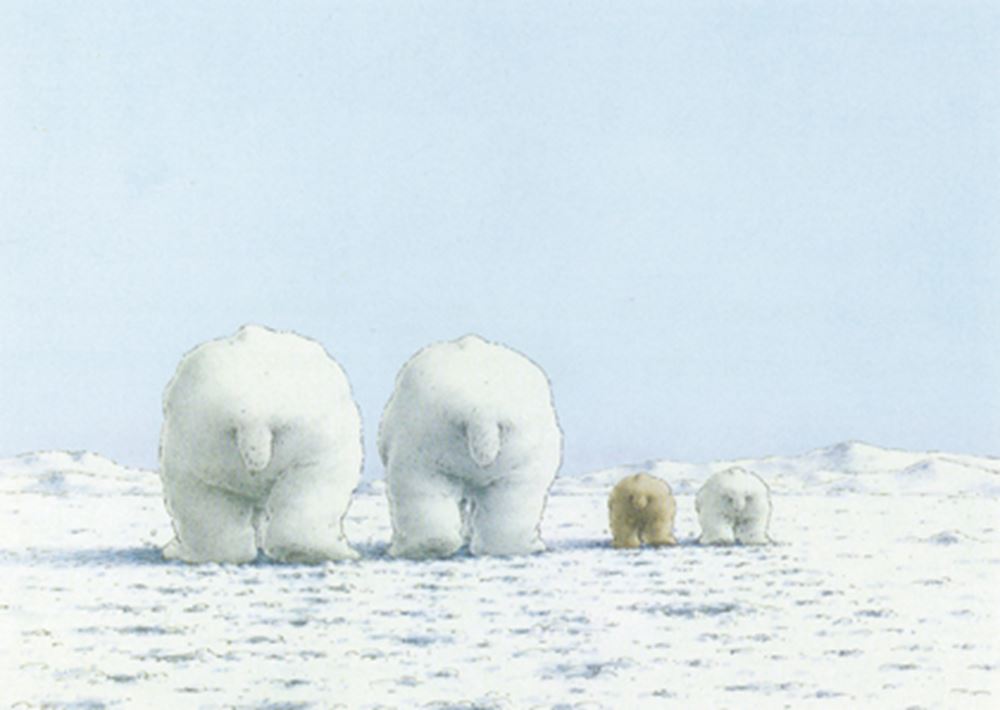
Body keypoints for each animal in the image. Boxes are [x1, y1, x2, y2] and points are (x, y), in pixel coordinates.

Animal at [377, 334, 562, 558]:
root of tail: (481, 412)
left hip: (426, 438)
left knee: (421, 486)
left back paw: (420, 547)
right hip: (520, 446)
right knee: (515, 494)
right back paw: (515, 546)